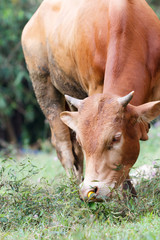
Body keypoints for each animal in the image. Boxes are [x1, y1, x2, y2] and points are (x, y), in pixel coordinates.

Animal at [21, 0, 160, 202]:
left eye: (116, 138)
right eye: (84, 140)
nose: (91, 190)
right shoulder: (95, 86)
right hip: (42, 83)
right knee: (63, 145)